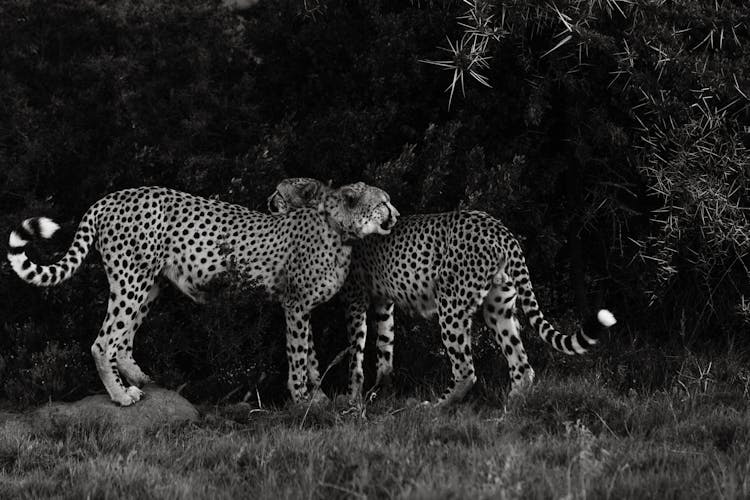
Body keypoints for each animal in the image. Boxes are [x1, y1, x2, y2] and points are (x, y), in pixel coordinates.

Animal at [8, 184, 402, 406]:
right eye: (383, 203)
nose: (397, 214)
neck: (341, 231)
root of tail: (111, 197)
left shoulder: (302, 308)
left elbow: (313, 357)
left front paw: (317, 396)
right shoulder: (295, 305)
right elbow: (299, 354)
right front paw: (302, 398)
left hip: (149, 282)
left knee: (124, 337)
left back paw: (138, 379)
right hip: (131, 278)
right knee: (103, 341)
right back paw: (120, 396)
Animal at [270, 178, 616, 404]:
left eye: (279, 192)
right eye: (384, 203)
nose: (269, 201)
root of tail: (497, 225)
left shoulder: (355, 297)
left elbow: (356, 348)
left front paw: (352, 396)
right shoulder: (383, 299)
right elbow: (384, 345)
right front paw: (380, 390)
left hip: (451, 304)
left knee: (466, 369)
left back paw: (438, 406)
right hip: (499, 306)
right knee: (521, 364)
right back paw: (513, 407)